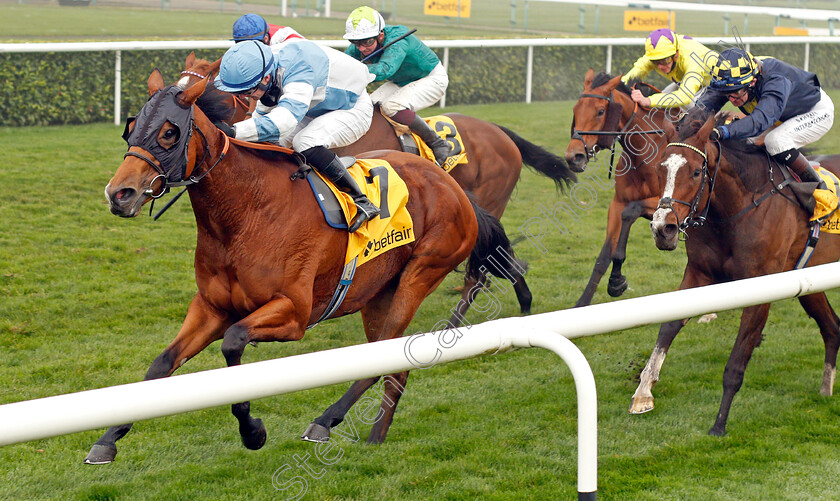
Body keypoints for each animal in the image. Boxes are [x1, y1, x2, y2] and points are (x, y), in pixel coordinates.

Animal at [87, 68, 520, 462]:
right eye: (130, 130)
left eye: (168, 133)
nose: (119, 194)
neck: (246, 213)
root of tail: (452, 186)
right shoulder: (211, 307)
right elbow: (161, 365)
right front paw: (107, 439)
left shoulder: (293, 312)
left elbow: (233, 344)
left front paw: (253, 432)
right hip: (379, 292)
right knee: (393, 362)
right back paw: (376, 435)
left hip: (420, 274)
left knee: (388, 353)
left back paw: (325, 421)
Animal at [560, 68, 680, 306]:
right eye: (575, 109)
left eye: (600, 111)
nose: (573, 157)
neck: (645, 155)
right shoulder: (617, 204)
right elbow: (604, 255)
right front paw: (582, 303)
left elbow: (631, 211)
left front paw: (616, 281)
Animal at [640, 107, 836, 436]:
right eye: (660, 169)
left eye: (696, 172)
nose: (662, 229)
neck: (736, 209)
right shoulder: (699, 273)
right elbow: (669, 325)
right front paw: (643, 391)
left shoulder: (761, 288)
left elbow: (737, 360)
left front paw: (719, 424)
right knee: (833, 328)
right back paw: (826, 390)